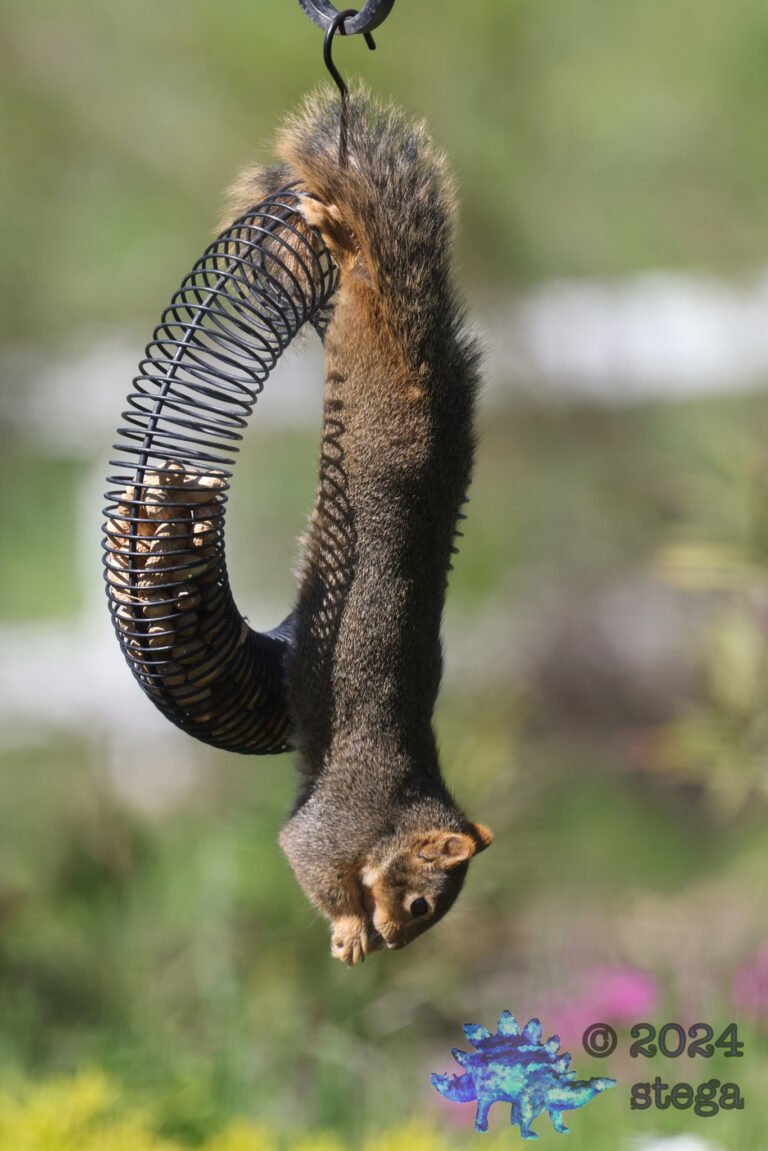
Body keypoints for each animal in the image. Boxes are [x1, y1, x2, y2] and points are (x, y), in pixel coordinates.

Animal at [224, 85, 492, 965]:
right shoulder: (331, 821)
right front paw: (348, 931)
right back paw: (339, 231)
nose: (400, 945)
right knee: (365, 277)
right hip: (370, 389)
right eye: (421, 902)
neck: (395, 809)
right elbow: (307, 861)